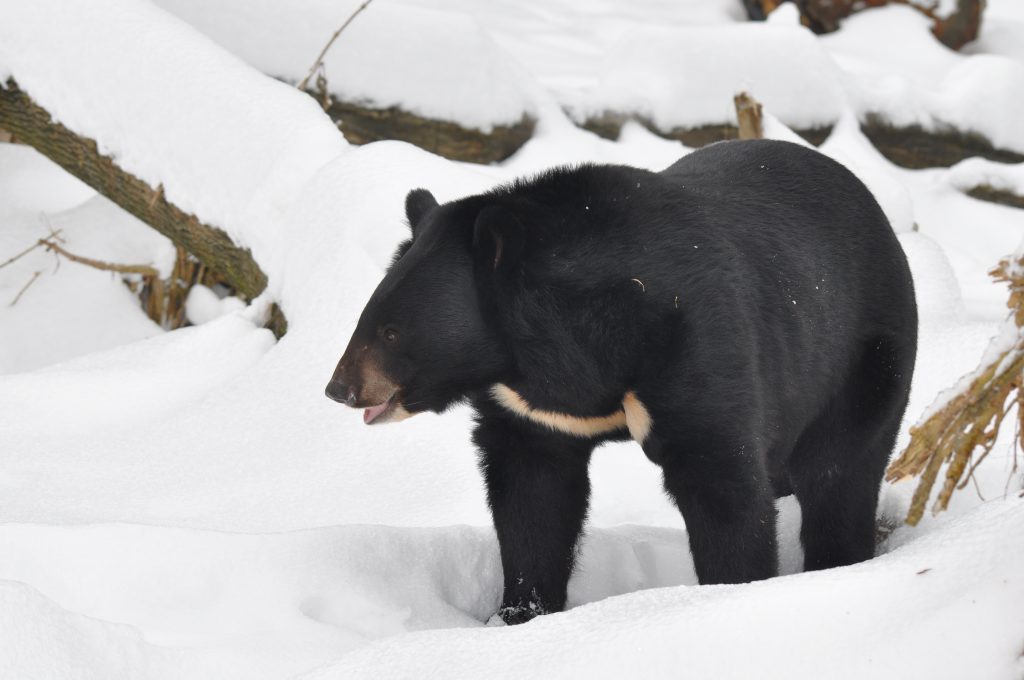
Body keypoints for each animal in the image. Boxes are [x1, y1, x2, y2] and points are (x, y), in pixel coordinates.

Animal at [327, 139, 921, 626]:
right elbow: (531, 497)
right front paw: (519, 612)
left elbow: (721, 481)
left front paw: (730, 592)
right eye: (367, 318)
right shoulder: (532, 412)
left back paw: (835, 563)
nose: (340, 389)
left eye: (392, 331)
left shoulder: (693, 343)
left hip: (863, 361)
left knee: (838, 475)